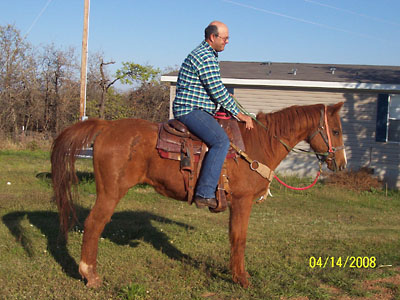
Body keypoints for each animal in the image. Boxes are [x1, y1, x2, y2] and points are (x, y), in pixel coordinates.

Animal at [50, 101, 346, 288]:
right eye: (337, 130)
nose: (341, 165)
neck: (258, 145)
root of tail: (107, 126)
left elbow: (233, 238)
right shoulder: (242, 202)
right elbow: (239, 239)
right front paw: (242, 279)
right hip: (110, 193)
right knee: (93, 225)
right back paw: (90, 276)